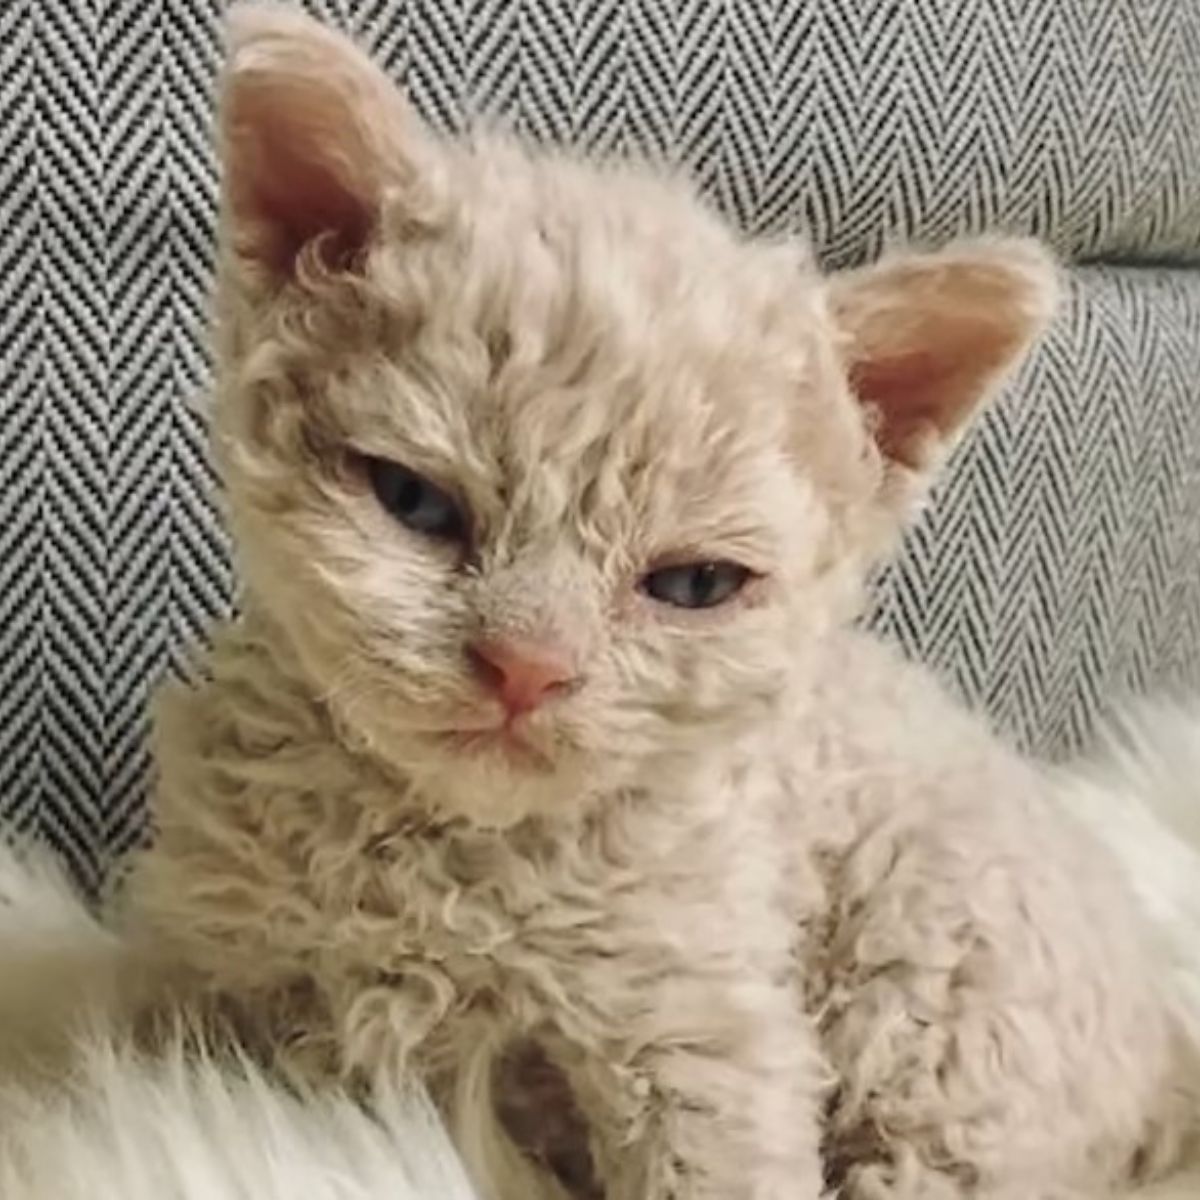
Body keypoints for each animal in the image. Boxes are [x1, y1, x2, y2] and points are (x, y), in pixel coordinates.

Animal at [124, 9, 1200, 1200]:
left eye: (693, 586)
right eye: (413, 501)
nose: (526, 667)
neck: (455, 861)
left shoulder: (704, 1026)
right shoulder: (221, 974)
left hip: (941, 991)